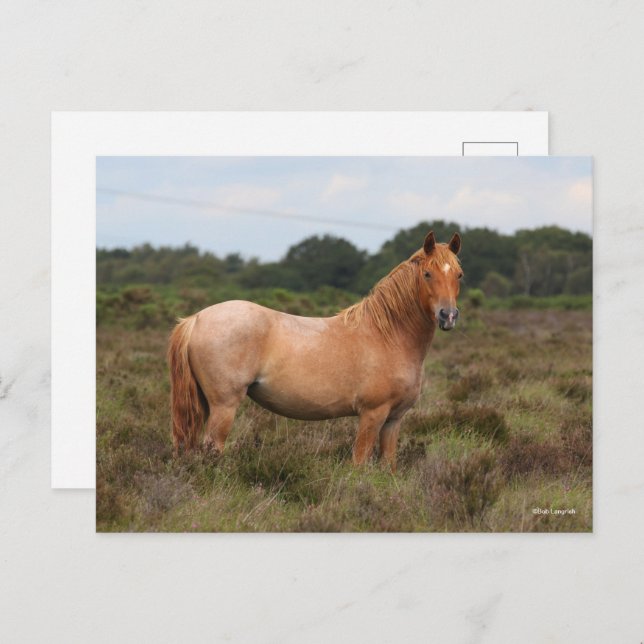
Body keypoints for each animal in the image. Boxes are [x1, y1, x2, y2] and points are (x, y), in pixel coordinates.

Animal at [168, 230, 462, 471]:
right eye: (427, 274)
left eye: (458, 274)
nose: (447, 316)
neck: (388, 335)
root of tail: (196, 319)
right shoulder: (372, 415)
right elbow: (359, 462)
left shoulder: (393, 420)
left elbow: (388, 465)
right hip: (224, 406)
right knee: (212, 449)